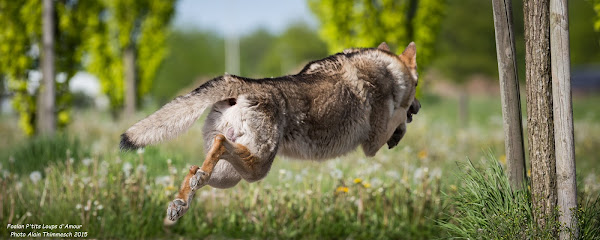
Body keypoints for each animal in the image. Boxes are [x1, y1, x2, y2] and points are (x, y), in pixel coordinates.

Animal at [120, 41, 422, 221]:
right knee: (219, 144)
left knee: (196, 169)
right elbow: (398, 118)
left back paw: (180, 204)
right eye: (418, 85)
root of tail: (244, 84)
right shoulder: (371, 144)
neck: (386, 67)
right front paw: (401, 127)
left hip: (232, 177)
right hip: (257, 169)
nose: (418, 107)